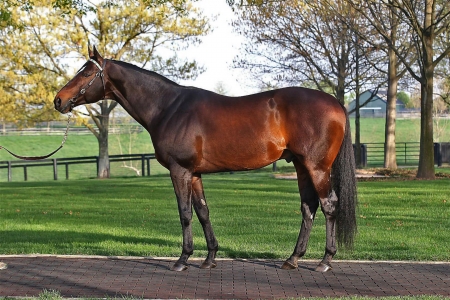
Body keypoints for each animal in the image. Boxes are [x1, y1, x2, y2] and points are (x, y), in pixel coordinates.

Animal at [53, 46, 356, 272]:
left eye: (87, 73)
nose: (58, 100)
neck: (168, 107)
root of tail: (336, 103)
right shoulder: (194, 173)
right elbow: (202, 212)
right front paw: (210, 258)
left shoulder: (180, 171)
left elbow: (185, 214)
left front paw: (182, 259)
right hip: (302, 166)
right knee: (308, 207)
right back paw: (292, 259)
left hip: (317, 167)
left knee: (329, 205)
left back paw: (325, 261)